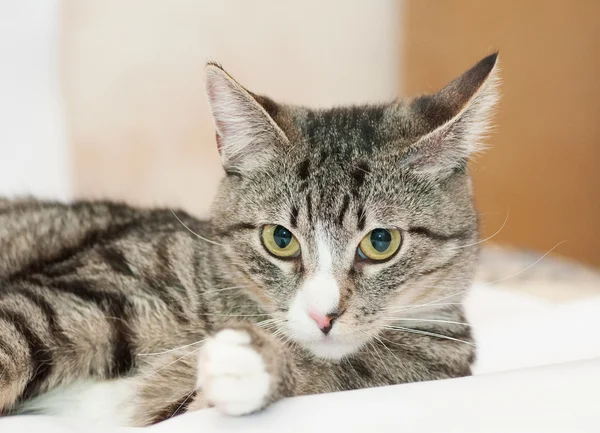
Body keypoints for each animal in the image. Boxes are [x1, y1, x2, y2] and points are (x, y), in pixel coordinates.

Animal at [0, 53, 496, 426]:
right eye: (280, 238)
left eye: (380, 242)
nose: (324, 315)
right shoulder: (88, 289)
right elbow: (19, 330)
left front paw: (252, 364)